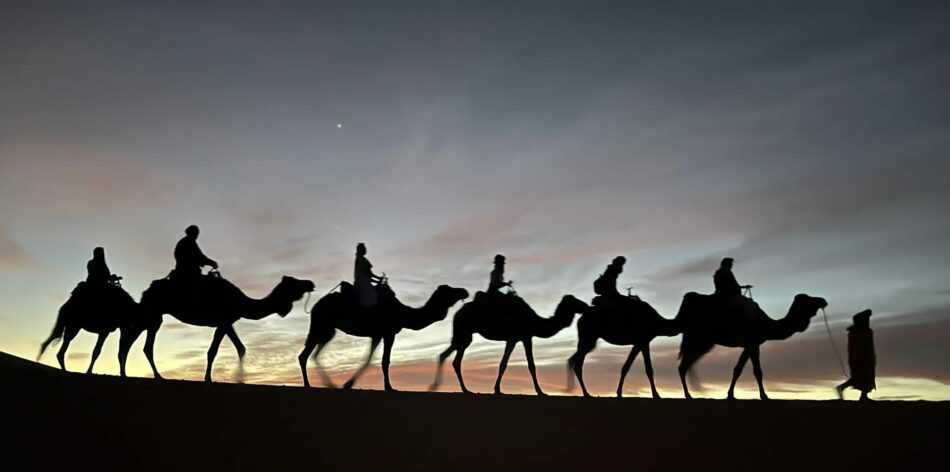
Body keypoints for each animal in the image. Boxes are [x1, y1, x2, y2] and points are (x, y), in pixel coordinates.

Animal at [134, 274, 316, 382]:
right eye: (295, 283)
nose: (310, 283)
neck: (241, 302)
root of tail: (147, 290)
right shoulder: (223, 321)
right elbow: (212, 352)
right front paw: (208, 378)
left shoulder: (228, 322)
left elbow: (240, 348)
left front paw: (240, 379)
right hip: (154, 313)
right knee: (146, 345)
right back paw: (158, 376)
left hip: (152, 315)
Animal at [300, 282, 470, 390]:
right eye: (449, 290)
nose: (464, 291)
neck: (404, 314)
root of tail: (315, 305)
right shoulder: (389, 333)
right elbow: (385, 361)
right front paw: (389, 387)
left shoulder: (377, 335)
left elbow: (369, 359)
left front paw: (348, 384)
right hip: (321, 324)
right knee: (304, 355)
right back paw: (308, 385)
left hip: (328, 329)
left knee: (314, 352)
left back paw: (328, 384)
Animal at [430, 294, 588, 396]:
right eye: (574, 301)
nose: (585, 305)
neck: (535, 321)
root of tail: (456, 314)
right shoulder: (525, 337)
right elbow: (531, 365)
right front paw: (541, 392)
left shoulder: (513, 339)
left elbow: (503, 364)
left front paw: (497, 390)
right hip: (464, 332)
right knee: (454, 359)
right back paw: (460, 389)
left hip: (463, 335)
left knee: (448, 356)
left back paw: (447, 387)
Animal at [676, 294, 824, 400]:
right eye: (808, 299)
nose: (823, 301)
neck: (767, 324)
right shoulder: (753, 343)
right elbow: (753, 371)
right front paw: (763, 396)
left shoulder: (750, 345)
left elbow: (742, 369)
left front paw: (731, 395)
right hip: (698, 339)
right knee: (683, 365)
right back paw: (688, 395)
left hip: (702, 342)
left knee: (687, 364)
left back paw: (695, 392)